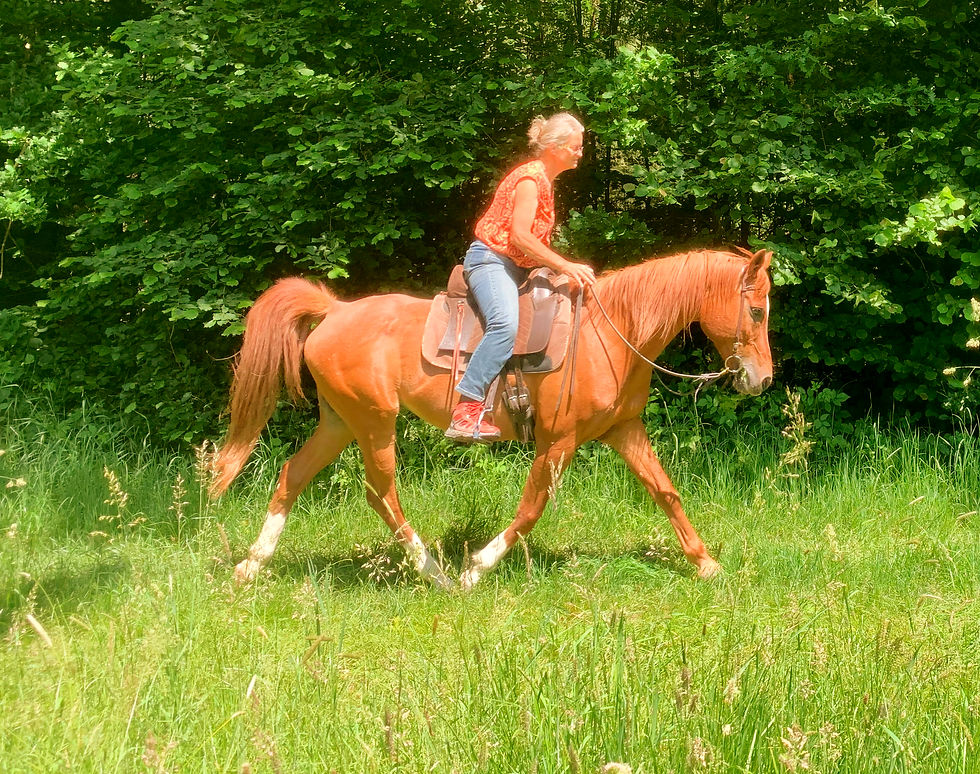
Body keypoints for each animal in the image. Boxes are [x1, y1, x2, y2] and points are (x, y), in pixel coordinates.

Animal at [211, 247, 773, 589]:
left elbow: (665, 491)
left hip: (339, 422)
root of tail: (333, 311)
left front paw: (705, 563)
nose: (763, 379)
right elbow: (530, 510)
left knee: (293, 475)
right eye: (758, 310)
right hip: (373, 422)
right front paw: (476, 570)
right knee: (382, 495)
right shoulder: (558, 440)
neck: (611, 332)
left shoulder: (623, 430)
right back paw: (436, 574)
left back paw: (251, 565)